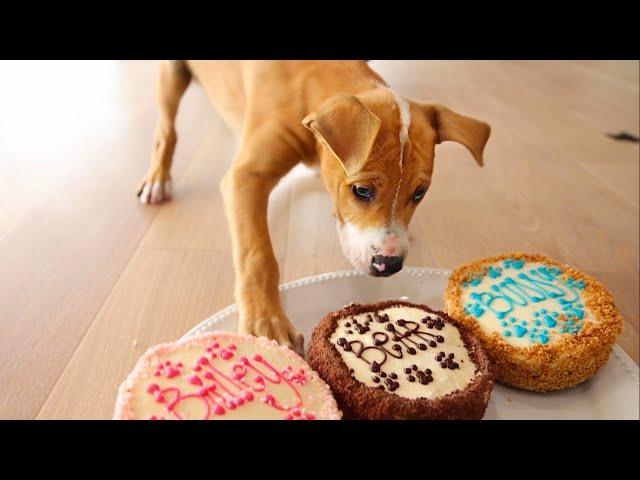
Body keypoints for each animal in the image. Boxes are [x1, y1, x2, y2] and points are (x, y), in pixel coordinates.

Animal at [140, 60, 490, 354]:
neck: (309, 81)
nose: (389, 265)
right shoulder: (246, 177)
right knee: (165, 129)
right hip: (171, 75)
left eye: (419, 193)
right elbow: (257, 254)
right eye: (361, 190)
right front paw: (266, 322)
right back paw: (157, 178)